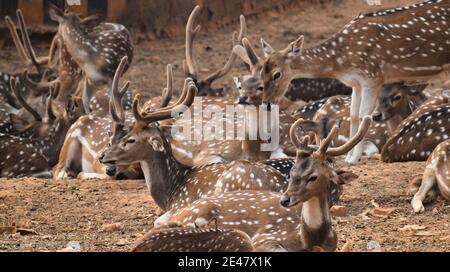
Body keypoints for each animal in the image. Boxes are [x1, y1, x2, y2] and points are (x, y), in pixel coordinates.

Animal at [258, 0, 450, 165]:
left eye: (277, 74)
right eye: (260, 72)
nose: (266, 103)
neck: (341, 63)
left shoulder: (372, 76)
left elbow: (364, 115)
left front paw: (354, 158)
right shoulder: (356, 82)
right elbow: (353, 115)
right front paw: (350, 156)